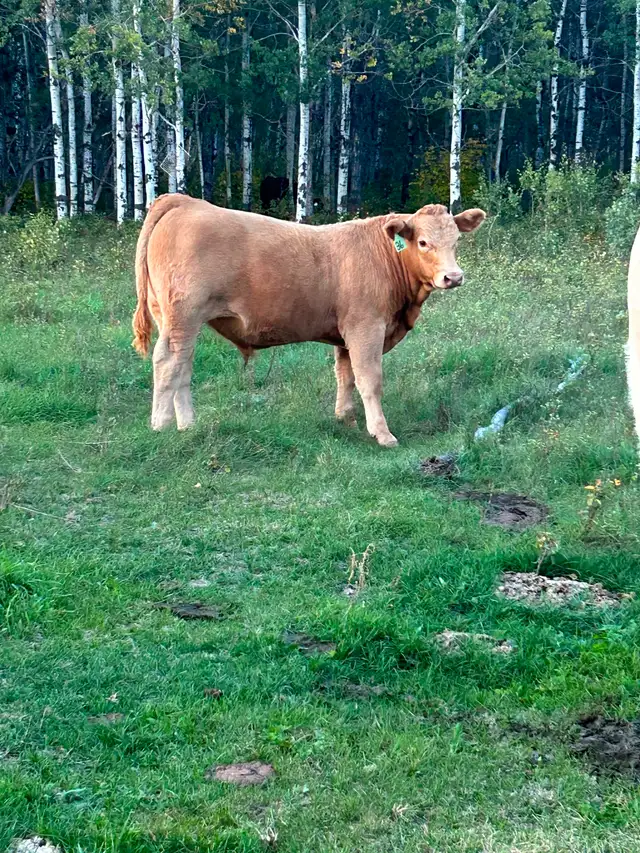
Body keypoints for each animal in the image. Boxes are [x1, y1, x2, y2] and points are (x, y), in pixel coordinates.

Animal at [132, 195, 485, 447]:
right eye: (423, 242)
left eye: (456, 241)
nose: (453, 277)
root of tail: (185, 201)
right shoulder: (366, 327)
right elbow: (369, 380)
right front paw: (382, 433)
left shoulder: (345, 333)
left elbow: (345, 375)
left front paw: (345, 419)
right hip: (183, 316)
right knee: (167, 363)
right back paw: (161, 426)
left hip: (173, 319)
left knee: (183, 367)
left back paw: (187, 425)